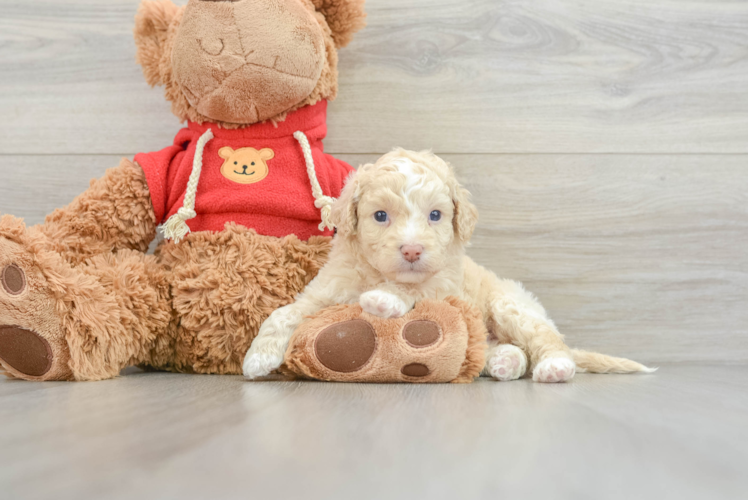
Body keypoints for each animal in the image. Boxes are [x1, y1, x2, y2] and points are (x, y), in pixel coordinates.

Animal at [244, 148, 648, 382]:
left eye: (435, 215)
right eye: (380, 216)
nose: (411, 251)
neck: (377, 272)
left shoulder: (443, 282)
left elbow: (412, 288)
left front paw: (384, 299)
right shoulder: (324, 292)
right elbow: (282, 313)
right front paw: (258, 357)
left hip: (511, 306)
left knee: (545, 339)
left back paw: (555, 366)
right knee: (504, 351)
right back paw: (504, 362)